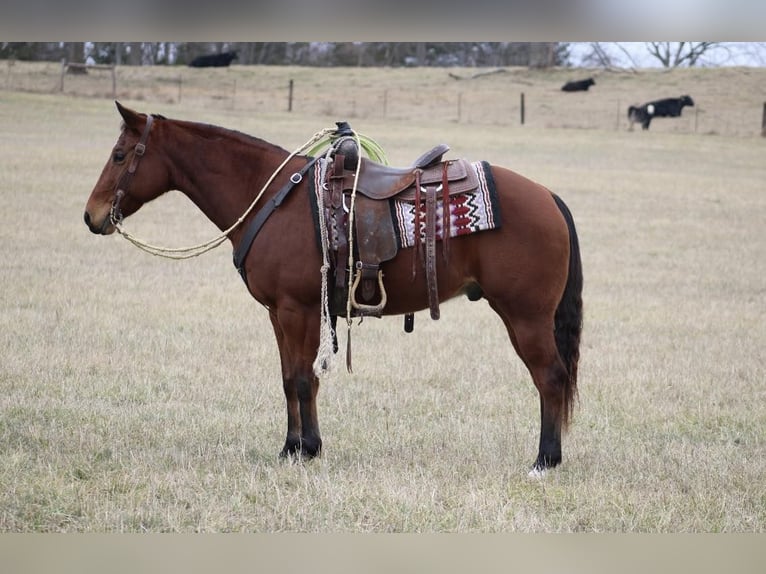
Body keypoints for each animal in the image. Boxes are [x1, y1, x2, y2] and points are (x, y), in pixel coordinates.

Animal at [84, 101, 584, 474]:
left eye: (120, 155)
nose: (91, 216)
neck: (273, 200)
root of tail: (548, 197)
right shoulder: (279, 313)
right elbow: (289, 378)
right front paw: (291, 447)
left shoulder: (298, 310)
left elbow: (305, 379)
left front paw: (308, 449)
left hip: (526, 316)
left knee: (550, 377)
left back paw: (545, 461)